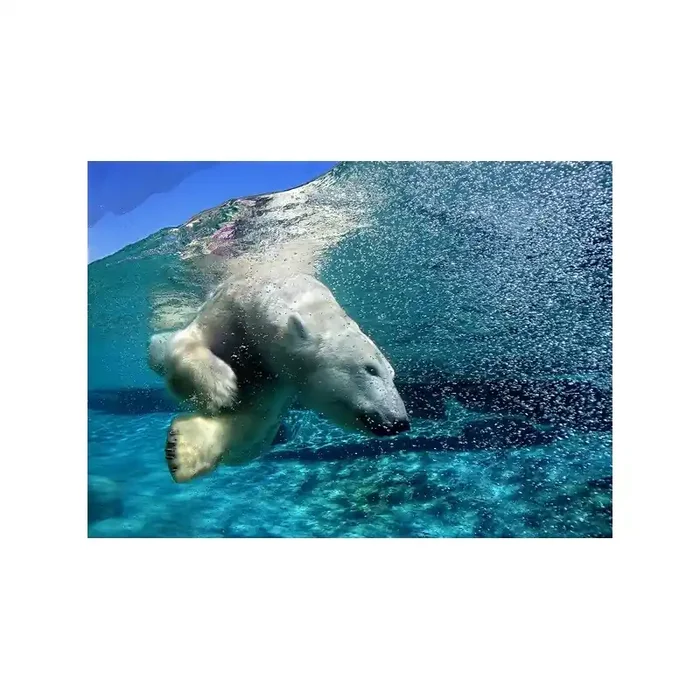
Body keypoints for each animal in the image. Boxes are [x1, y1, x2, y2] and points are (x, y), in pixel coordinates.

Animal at [148, 270, 410, 482]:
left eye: (392, 375)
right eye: (370, 369)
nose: (400, 422)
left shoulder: (278, 381)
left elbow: (253, 430)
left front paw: (181, 450)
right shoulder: (228, 311)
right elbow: (188, 341)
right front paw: (221, 387)